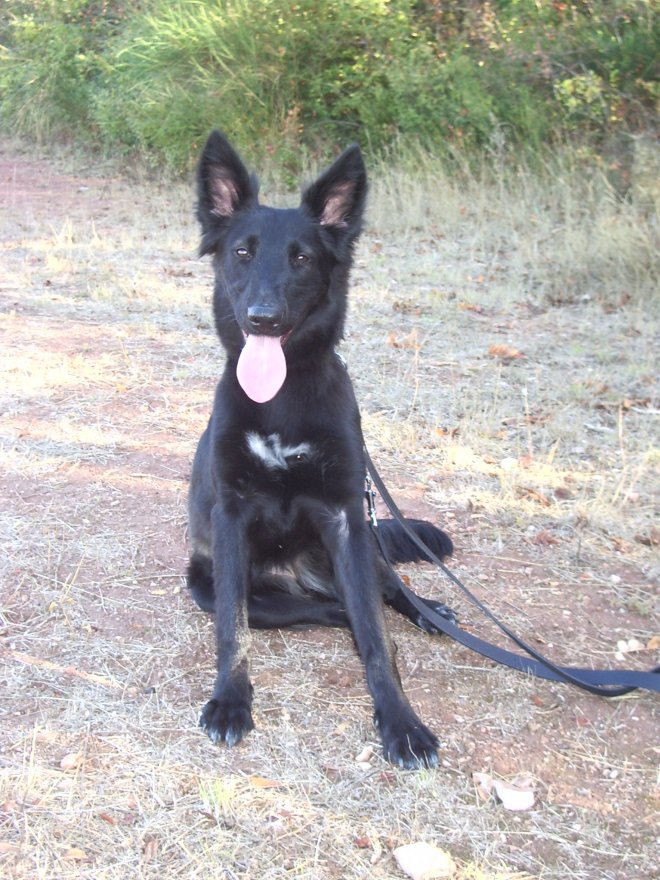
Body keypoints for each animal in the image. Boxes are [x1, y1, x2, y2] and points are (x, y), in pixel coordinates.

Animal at [186, 132, 454, 768]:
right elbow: (233, 629)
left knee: (385, 593)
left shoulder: (346, 517)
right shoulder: (230, 517)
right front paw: (230, 702)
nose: (262, 317)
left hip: (360, 549)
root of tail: (302, 575)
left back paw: (430, 612)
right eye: (241, 253)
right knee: (324, 611)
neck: (281, 397)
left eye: (302, 259)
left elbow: (379, 641)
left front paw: (401, 722)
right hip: (209, 583)